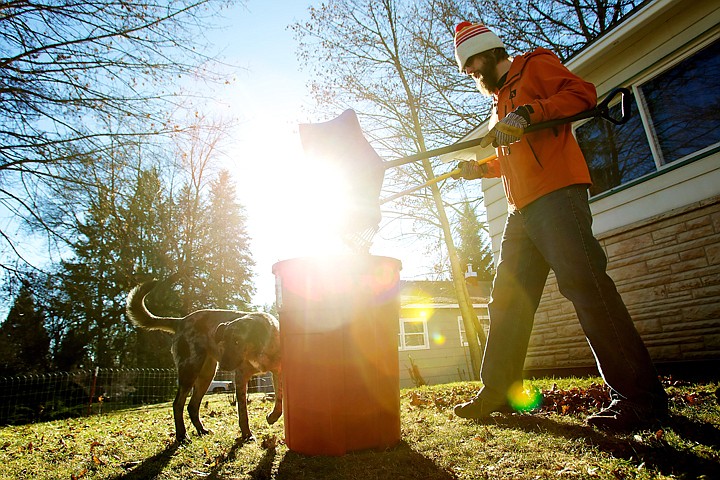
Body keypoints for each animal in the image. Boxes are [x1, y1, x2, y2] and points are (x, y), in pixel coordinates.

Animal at [124, 280, 282, 444]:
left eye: (238, 341)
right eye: (223, 342)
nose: (224, 365)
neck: (259, 349)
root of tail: (181, 321)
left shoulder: (278, 372)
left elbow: (279, 400)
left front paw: (272, 417)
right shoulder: (240, 377)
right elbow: (243, 411)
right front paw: (247, 435)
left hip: (206, 374)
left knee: (192, 406)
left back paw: (201, 430)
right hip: (190, 369)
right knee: (178, 404)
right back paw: (182, 435)